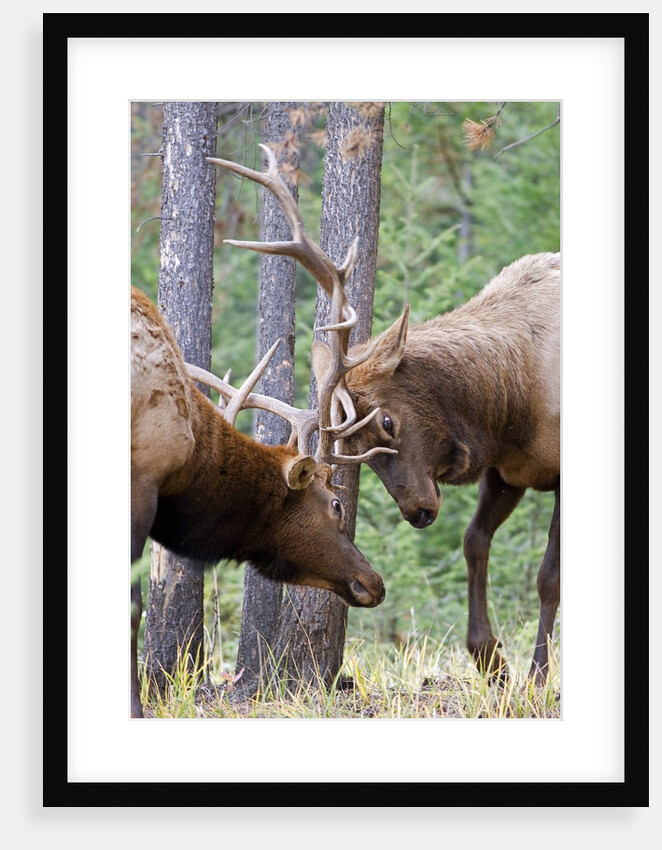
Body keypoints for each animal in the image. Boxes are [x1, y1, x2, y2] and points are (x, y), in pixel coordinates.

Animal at [214, 146, 560, 688]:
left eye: (388, 423)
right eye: (355, 448)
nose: (417, 512)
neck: (513, 406)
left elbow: (548, 578)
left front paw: (539, 677)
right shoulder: (505, 472)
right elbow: (474, 542)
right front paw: (490, 660)